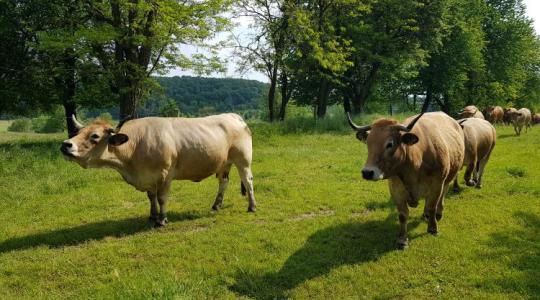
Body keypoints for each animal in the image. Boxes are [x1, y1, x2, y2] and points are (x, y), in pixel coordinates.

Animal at [62, 113, 256, 226]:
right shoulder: (148, 176)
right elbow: (151, 197)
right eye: (77, 133)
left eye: (95, 136)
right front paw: (152, 216)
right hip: (224, 163)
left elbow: (162, 198)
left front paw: (162, 220)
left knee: (248, 181)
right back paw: (216, 205)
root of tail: (233, 116)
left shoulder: (164, 175)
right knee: (224, 181)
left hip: (243, 160)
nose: (65, 144)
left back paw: (252, 206)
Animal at [348, 112, 466, 248]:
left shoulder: (437, 185)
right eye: (368, 143)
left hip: (448, 178)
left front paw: (433, 229)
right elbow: (403, 215)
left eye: (390, 144)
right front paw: (402, 239)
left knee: (442, 196)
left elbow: (432, 206)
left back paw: (438, 213)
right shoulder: (396, 189)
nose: (367, 172)